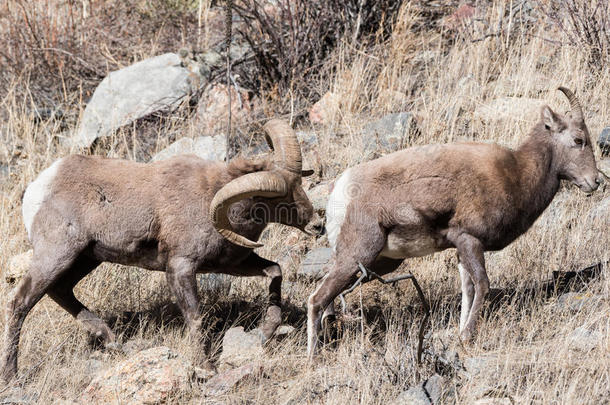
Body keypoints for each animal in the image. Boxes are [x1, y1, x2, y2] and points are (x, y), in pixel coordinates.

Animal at [0, 118, 314, 380]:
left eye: (300, 182)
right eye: (279, 197)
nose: (314, 219)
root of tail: (38, 187)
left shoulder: (232, 264)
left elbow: (275, 271)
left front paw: (268, 330)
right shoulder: (180, 267)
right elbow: (195, 317)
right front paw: (206, 367)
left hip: (84, 259)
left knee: (60, 291)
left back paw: (111, 341)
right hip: (57, 255)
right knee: (20, 303)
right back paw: (12, 376)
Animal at [306, 87, 600, 356]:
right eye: (578, 139)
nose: (595, 181)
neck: (516, 175)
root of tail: (339, 190)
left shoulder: (461, 249)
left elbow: (467, 290)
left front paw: (460, 332)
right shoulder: (470, 241)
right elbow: (482, 285)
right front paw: (467, 337)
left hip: (375, 262)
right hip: (359, 255)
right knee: (316, 300)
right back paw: (313, 356)